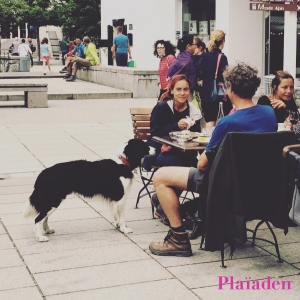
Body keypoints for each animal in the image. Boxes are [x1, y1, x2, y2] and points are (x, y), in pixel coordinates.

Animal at [23, 139, 152, 243]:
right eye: (145, 146)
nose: (155, 149)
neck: (123, 163)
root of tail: (43, 174)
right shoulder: (120, 197)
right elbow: (122, 217)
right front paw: (124, 229)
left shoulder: (115, 200)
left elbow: (116, 215)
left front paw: (118, 226)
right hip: (53, 201)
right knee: (38, 219)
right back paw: (40, 237)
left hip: (52, 201)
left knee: (44, 217)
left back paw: (48, 230)